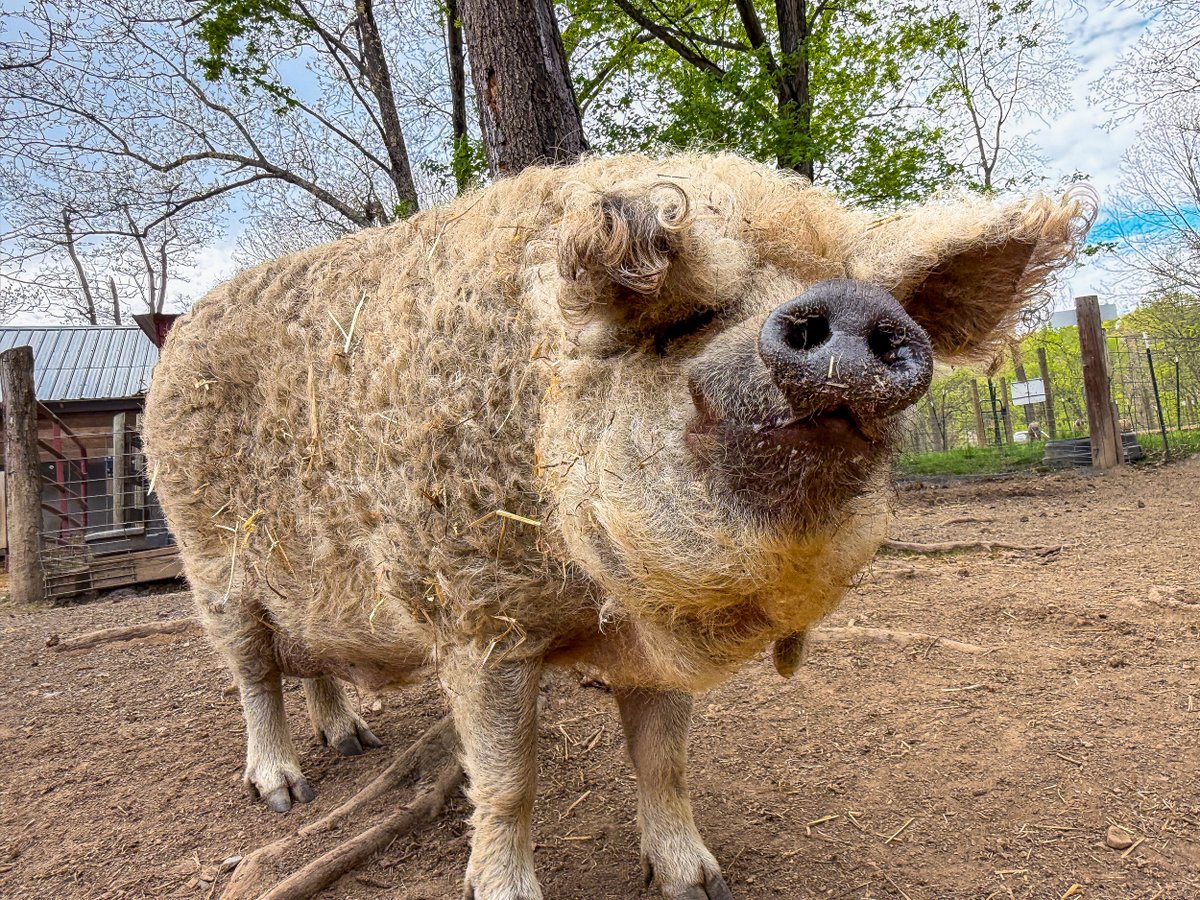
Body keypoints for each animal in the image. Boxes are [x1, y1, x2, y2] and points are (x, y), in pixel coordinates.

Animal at [142, 153, 1089, 900]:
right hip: (210, 562)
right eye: (689, 321)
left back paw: (354, 742)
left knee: (312, 664)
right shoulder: (477, 618)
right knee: (252, 674)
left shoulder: (651, 639)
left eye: (880, 301)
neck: (591, 601)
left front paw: (699, 884)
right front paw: (504, 892)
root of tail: (178, 335)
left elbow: (665, 758)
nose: (853, 309)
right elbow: (508, 779)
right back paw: (284, 791)